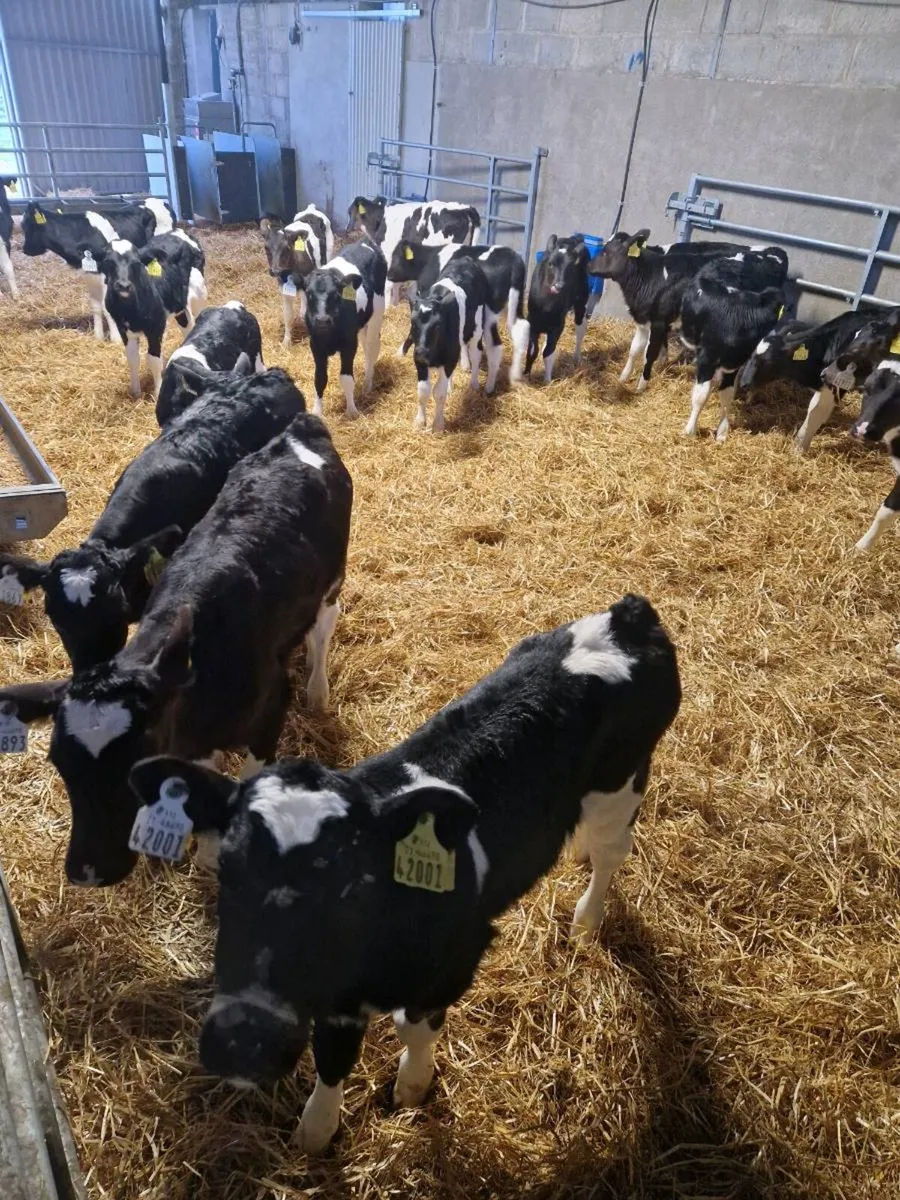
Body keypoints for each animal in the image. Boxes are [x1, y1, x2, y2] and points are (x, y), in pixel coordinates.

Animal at [127, 592, 681, 1153]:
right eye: (228, 871)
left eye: (350, 886)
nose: (243, 1042)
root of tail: (627, 615)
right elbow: (332, 1056)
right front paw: (317, 1129)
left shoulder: (456, 960)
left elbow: (415, 1029)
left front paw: (412, 1086)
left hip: (624, 781)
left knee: (613, 853)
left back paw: (586, 920)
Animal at [261, 206, 334, 346]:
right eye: (266, 248)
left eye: (287, 248)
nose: (275, 270)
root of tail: (312, 208)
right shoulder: (283, 288)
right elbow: (288, 315)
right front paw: (286, 341)